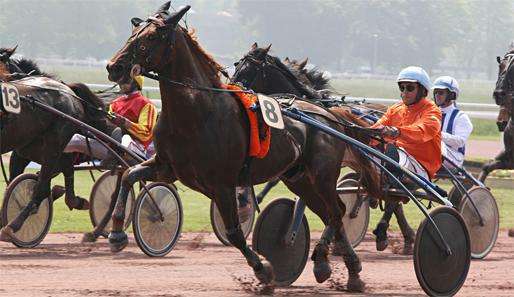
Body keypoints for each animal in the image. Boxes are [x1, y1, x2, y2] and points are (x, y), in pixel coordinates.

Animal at [105, 1, 380, 290]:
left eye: (151, 37)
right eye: (134, 31)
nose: (114, 67)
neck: (197, 113)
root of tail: (327, 114)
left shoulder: (222, 183)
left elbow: (235, 233)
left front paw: (264, 270)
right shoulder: (167, 167)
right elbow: (129, 174)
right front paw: (116, 234)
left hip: (322, 175)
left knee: (336, 212)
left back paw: (343, 268)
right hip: (299, 178)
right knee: (332, 212)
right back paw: (334, 267)